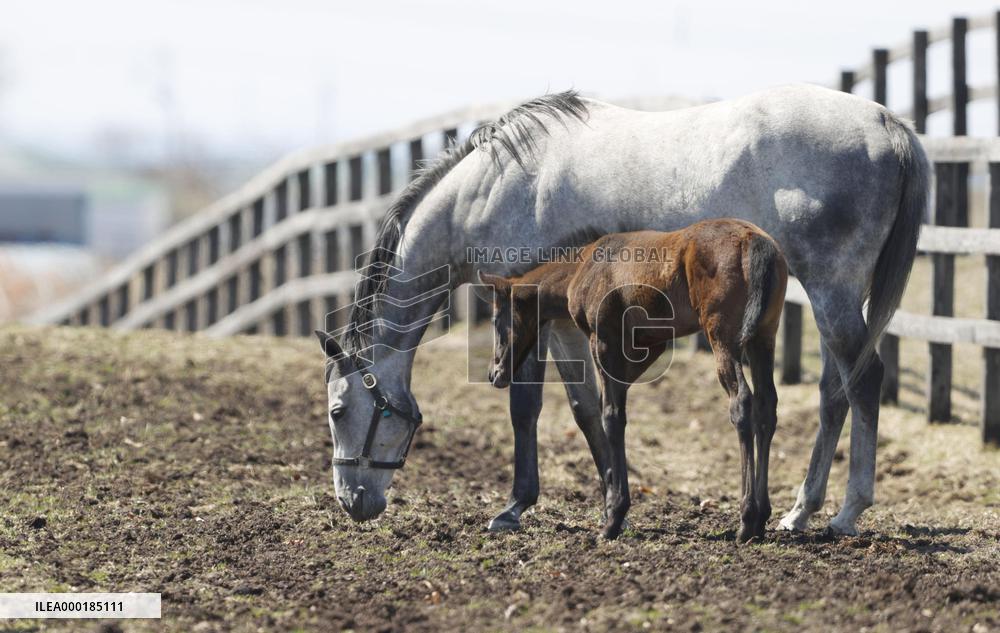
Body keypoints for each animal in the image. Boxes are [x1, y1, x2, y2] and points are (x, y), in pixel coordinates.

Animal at [477, 220, 789, 541]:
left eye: (495, 320)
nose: (494, 373)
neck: (583, 267)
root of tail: (754, 240)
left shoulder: (604, 341)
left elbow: (611, 416)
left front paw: (613, 518)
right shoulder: (649, 345)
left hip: (723, 338)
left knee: (741, 403)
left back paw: (747, 520)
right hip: (763, 338)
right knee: (766, 407)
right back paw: (762, 516)